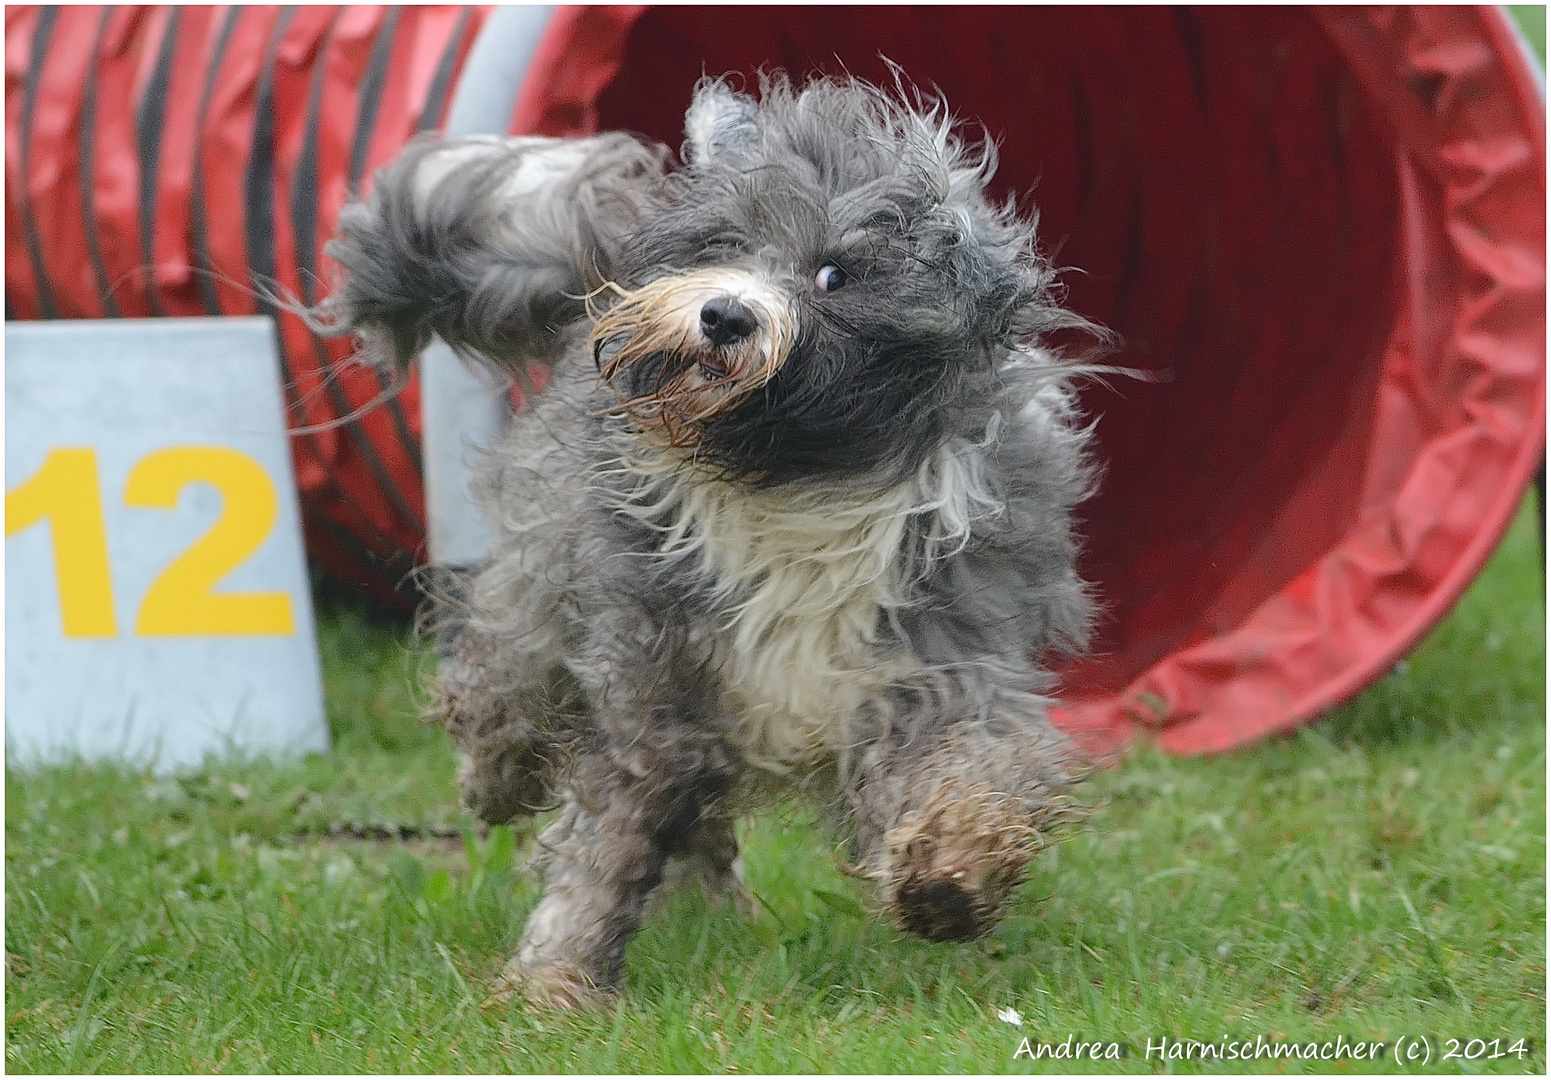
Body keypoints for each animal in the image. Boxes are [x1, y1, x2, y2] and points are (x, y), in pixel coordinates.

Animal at [324, 73, 1104, 1005]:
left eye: (833, 273)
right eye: (726, 243)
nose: (726, 315)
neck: (791, 474)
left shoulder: (944, 654)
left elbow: (967, 761)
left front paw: (948, 876)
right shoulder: (652, 680)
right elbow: (606, 841)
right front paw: (552, 981)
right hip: (541, 577)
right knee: (501, 678)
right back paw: (496, 774)